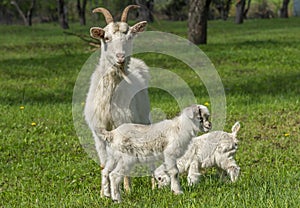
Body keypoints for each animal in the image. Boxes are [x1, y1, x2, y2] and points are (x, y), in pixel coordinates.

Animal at [84, 5, 150, 196]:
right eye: (106, 37)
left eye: (130, 36)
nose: (120, 57)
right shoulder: (98, 132)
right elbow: (103, 163)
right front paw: (102, 193)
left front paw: (126, 189)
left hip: (143, 119)